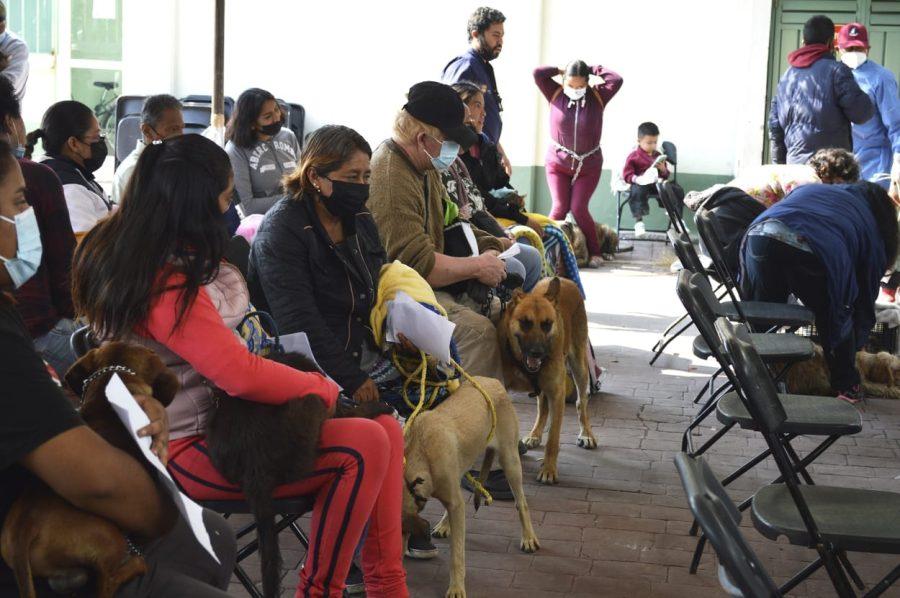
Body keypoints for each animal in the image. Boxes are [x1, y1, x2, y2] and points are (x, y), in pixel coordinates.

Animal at [402, 380, 540, 598]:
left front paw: (456, 588)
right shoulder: (452, 499)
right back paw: (444, 525)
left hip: (510, 460)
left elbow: (457, 555)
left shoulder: (455, 503)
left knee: (521, 502)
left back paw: (528, 537)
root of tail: (495, 381)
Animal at [496, 278, 596, 488]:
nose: (537, 352)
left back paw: (586, 434)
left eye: (547, 324)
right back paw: (534, 434)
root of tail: (563, 280)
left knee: (581, 402)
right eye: (525, 323)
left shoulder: (557, 394)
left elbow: (553, 439)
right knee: (542, 408)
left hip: (580, 367)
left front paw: (548, 470)